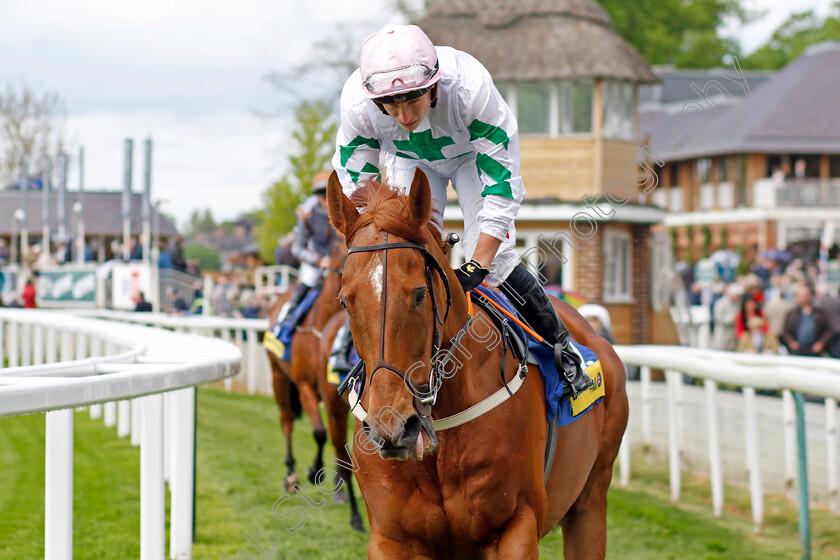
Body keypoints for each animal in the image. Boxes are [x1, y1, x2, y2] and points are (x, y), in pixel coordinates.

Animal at [328, 172, 632, 560]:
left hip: (590, 500)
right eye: (345, 301)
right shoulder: (391, 538)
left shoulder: (515, 527)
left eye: (419, 294)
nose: (392, 428)